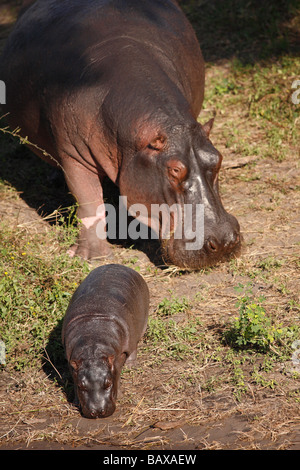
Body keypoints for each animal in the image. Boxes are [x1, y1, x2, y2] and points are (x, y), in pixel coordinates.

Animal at [0, 0, 240, 268]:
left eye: (217, 159)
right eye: (174, 170)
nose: (224, 242)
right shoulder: (73, 154)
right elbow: (88, 201)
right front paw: (92, 258)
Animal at [61, 264, 149, 418]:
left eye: (108, 383)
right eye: (81, 385)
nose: (97, 411)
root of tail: (118, 265)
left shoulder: (119, 356)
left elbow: (118, 372)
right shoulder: (71, 360)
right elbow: (73, 376)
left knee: (134, 347)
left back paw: (131, 365)